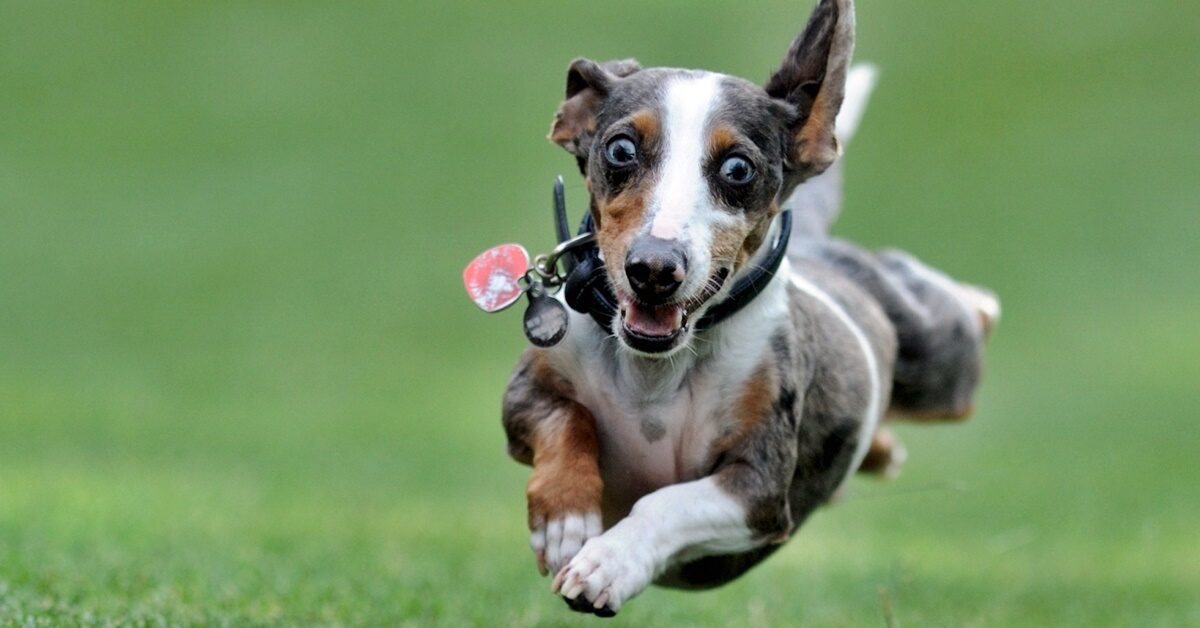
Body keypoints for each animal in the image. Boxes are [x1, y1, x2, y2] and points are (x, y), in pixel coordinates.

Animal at [496, 0, 993, 619]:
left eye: (738, 169)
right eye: (620, 149)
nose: (654, 268)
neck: (656, 372)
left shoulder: (758, 491)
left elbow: (666, 504)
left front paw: (609, 564)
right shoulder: (524, 395)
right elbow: (568, 420)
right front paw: (566, 519)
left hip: (943, 366)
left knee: (969, 318)